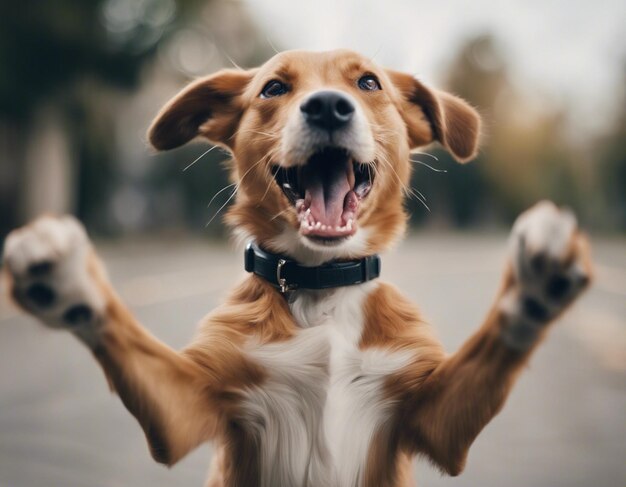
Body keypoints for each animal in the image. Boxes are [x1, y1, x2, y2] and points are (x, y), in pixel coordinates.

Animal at [2, 50, 588, 487]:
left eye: (369, 82)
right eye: (273, 89)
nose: (328, 106)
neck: (319, 286)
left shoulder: (434, 418)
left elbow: (490, 349)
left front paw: (536, 284)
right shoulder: (190, 407)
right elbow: (126, 336)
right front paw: (66, 281)